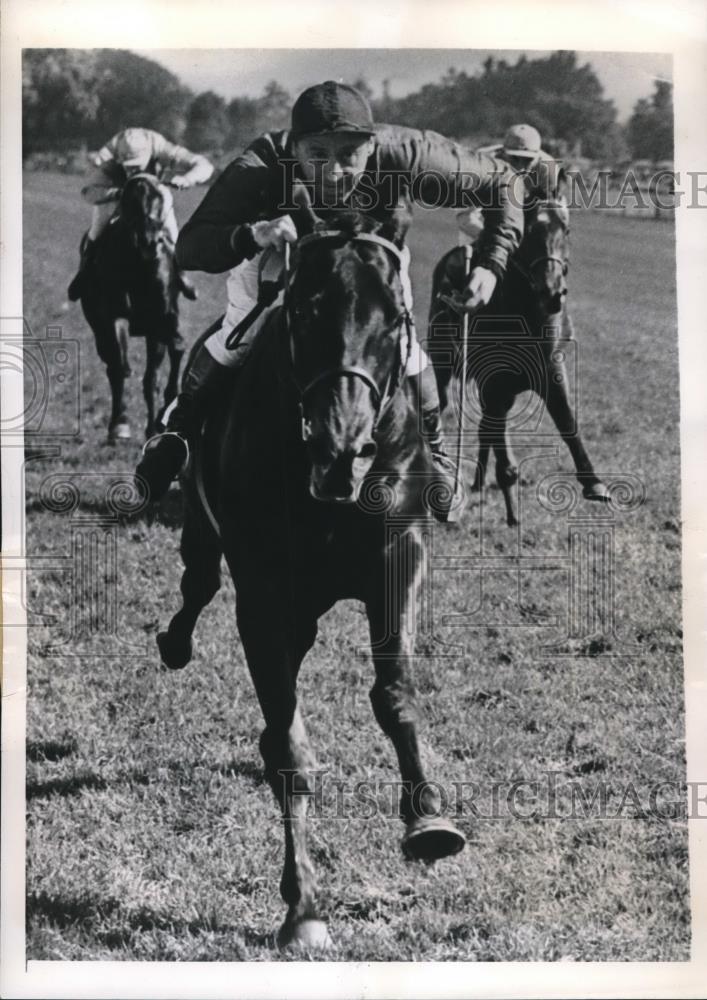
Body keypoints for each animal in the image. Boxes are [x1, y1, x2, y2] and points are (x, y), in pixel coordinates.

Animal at [78, 174, 187, 444]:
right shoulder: (113, 319)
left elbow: (154, 376)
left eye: (159, 200)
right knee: (115, 367)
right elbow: (120, 368)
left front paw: (155, 426)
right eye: (129, 203)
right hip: (100, 329)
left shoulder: (159, 323)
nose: (149, 240)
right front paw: (121, 425)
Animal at [158, 201, 472, 944]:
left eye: (395, 316)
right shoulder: (262, 594)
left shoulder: (396, 555)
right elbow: (287, 743)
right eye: (303, 310)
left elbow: (394, 691)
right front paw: (302, 905)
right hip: (209, 536)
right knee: (197, 585)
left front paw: (428, 815)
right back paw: (174, 641)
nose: (341, 447)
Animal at [428, 183, 604, 524]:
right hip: (445, 364)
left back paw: (479, 480)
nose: (553, 292)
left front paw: (594, 482)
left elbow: (567, 422)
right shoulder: (494, 382)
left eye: (566, 229)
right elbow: (500, 444)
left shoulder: (550, 373)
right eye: (530, 231)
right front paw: (510, 503)